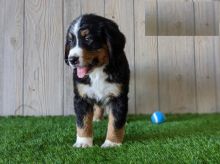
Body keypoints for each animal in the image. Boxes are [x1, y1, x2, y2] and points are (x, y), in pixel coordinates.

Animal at [64, 13, 129, 147]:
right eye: (70, 40)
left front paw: (111, 143)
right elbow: (82, 122)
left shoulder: (118, 97)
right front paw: (83, 142)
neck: (97, 71)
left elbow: (116, 121)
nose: (72, 59)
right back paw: (97, 118)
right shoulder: (81, 97)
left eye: (88, 38)